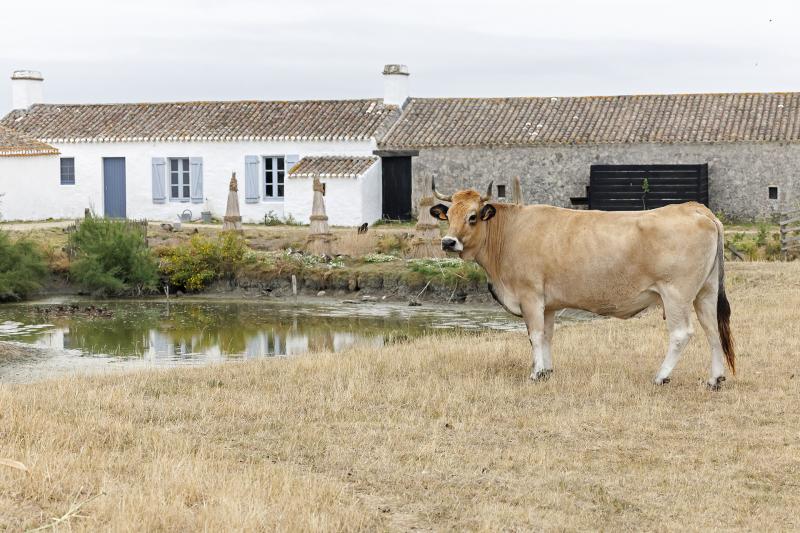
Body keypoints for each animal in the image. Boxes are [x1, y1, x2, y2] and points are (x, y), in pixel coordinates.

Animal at [428, 181, 736, 388]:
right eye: (449, 216)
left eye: (472, 217)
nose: (448, 242)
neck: (510, 232)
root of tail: (695, 208)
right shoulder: (548, 304)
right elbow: (547, 336)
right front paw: (547, 371)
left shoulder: (530, 296)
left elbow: (535, 335)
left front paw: (535, 373)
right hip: (705, 292)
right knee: (712, 331)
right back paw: (715, 379)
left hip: (676, 294)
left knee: (682, 333)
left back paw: (661, 376)